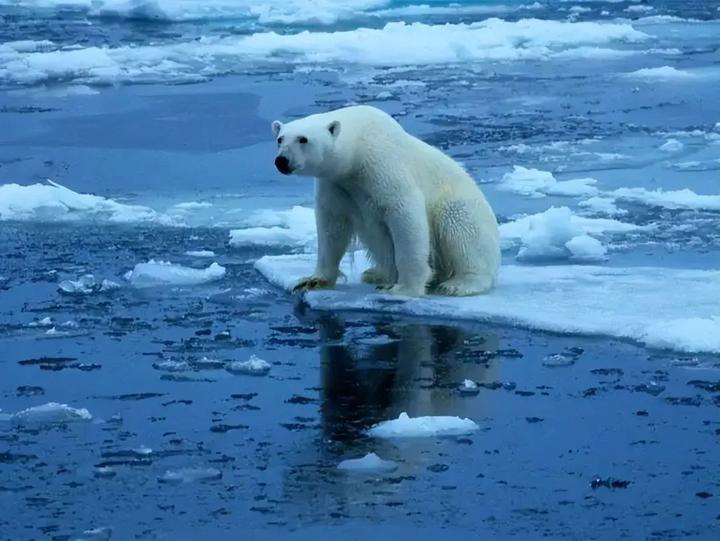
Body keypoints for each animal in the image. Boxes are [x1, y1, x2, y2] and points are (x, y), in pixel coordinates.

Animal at [271, 105, 500, 297]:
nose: (282, 161)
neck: (357, 150)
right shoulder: (336, 184)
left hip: (462, 208)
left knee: (461, 231)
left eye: (303, 139)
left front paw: (404, 288)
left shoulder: (383, 166)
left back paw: (456, 284)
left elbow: (405, 216)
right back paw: (374, 273)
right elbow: (332, 227)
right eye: (280, 139)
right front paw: (312, 281)